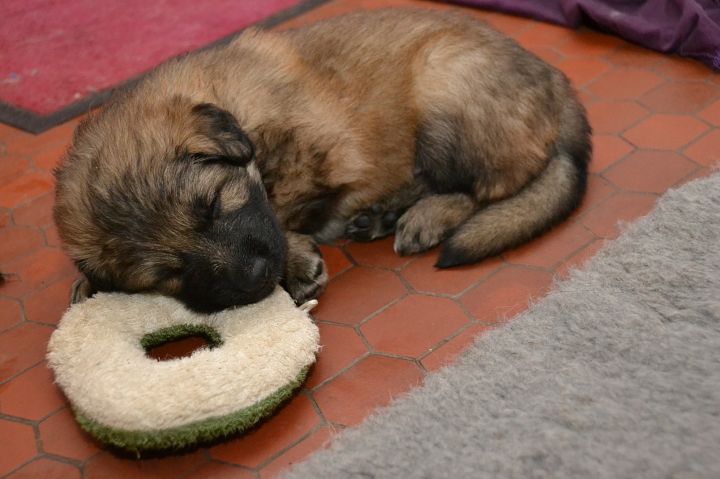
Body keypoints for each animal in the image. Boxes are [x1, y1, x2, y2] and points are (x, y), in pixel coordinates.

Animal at [53, 8, 591, 313]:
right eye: (168, 272)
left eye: (213, 205)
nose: (254, 277)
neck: (233, 105)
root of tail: (556, 81)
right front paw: (87, 284)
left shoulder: (323, 150)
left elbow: (280, 209)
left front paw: (295, 258)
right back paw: (382, 214)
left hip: (443, 83)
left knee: (481, 186)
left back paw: (423, 216)